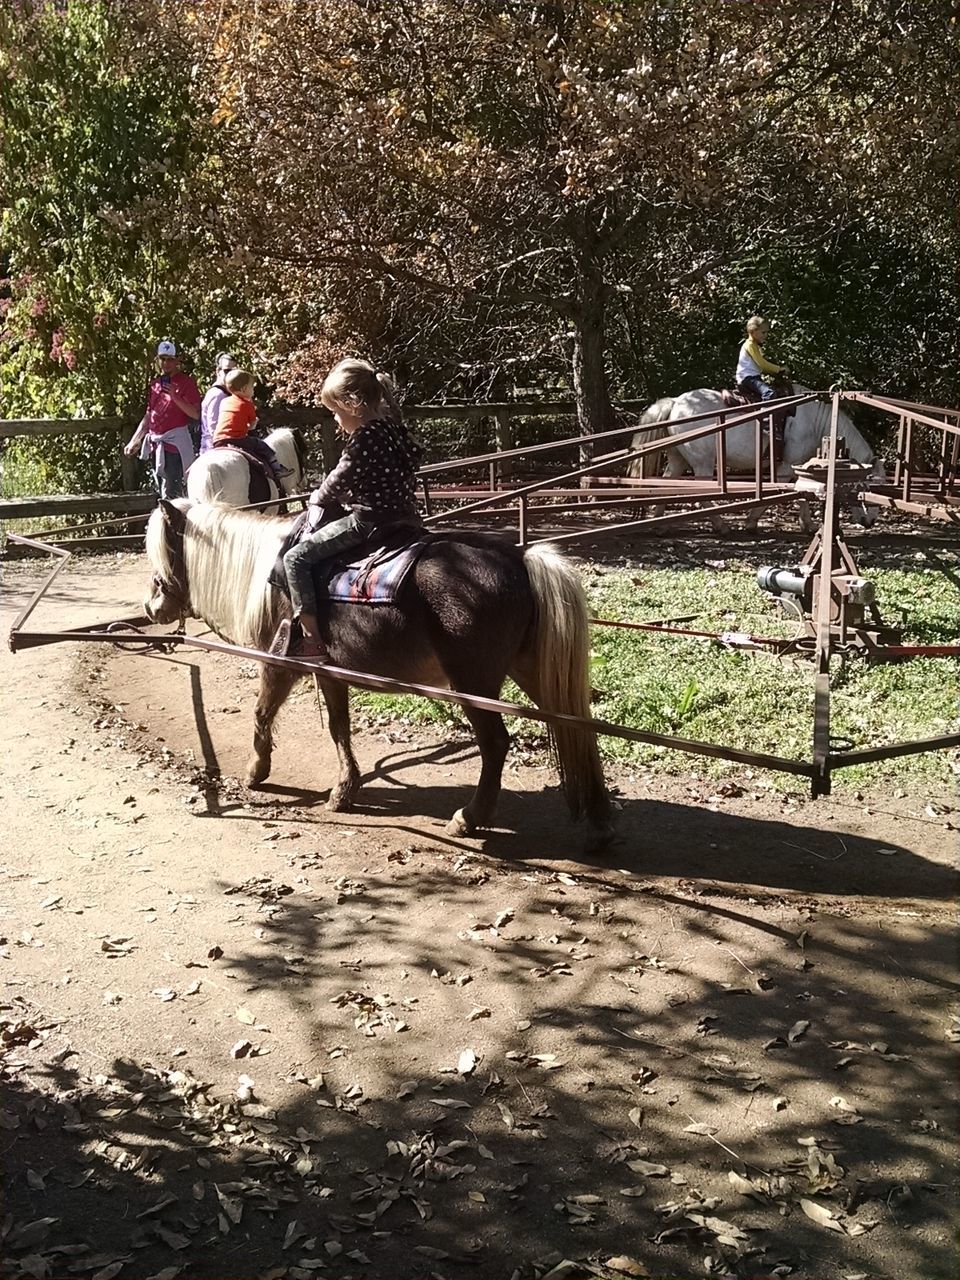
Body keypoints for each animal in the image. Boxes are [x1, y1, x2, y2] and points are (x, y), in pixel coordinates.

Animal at [144, 504, 609, 844]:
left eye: (165, 550)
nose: (151, 607)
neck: (271, 575)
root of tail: (520, 558)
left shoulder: (279, 663)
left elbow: (262, 713)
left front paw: (256, 772)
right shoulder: (328, 672)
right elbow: (339, 728)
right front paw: (344, 790)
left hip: (474, 684)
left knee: (495, 744)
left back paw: (469, 818)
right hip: (533, 673)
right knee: (578, 730)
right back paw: (598, 818)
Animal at [627, 389, 885, 529]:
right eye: (873, 487)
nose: (870, 521)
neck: (815, 423)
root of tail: (675, 403)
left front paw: (807, 524)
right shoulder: (785, 468)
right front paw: (751, 522)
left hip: (678, 458)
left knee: (667, 481)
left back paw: (658, 522)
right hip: (702, 462)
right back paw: (720, 525)